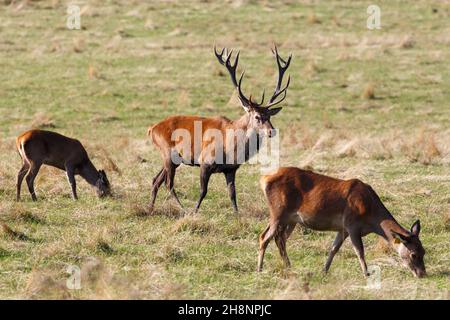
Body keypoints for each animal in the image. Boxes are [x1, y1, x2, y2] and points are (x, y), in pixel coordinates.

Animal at [148, 45, 292, 214]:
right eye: (257, 116)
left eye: (269, 116)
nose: (271, 131)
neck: (231, 147)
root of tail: (152, 129)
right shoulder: (204, 161)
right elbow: (203, 191)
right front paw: (195, 211)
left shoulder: (231, 169)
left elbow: (232, 193)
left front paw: (237, 214)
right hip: (167, 152)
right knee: (168, 184)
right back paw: (183, 209)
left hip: (174, 158)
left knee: (156, 180)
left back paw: (150, 208)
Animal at [258, 168, 428, 278]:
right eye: (413, 254)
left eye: (424, 251)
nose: (422, 274)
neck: (372, 219)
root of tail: (264, 179)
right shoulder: (352, 225)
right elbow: (359, 250)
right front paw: (366, 273)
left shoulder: (342, 229)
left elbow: (334, 248)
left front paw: (324, 270)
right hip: (278, 212)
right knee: (264, 237)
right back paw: (260, 269)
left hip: (290, 220)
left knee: (279, 239)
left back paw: (288, 266)